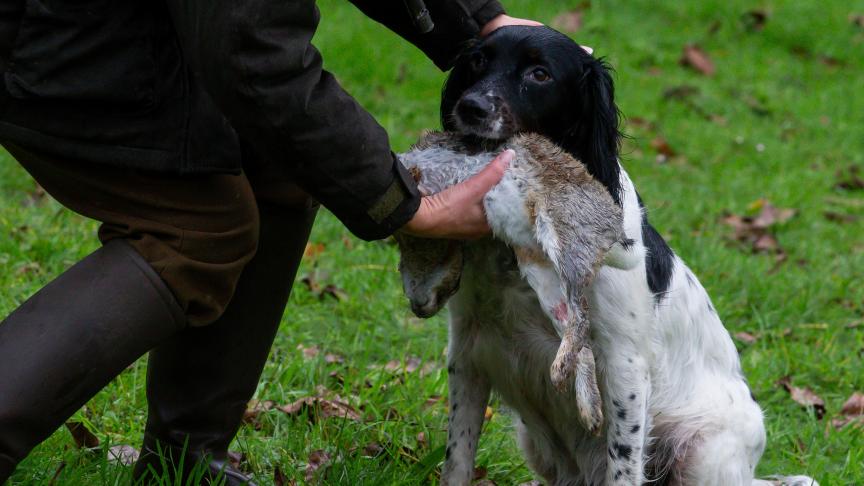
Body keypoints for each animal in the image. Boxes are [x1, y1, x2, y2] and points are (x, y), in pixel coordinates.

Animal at [410, 27, 816, 486]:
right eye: (478, 60)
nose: (471, 106)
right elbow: (458, 458)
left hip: (702, 453)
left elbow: (622, 464)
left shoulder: (624, 366)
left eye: (539, 73)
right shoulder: (468, 349)